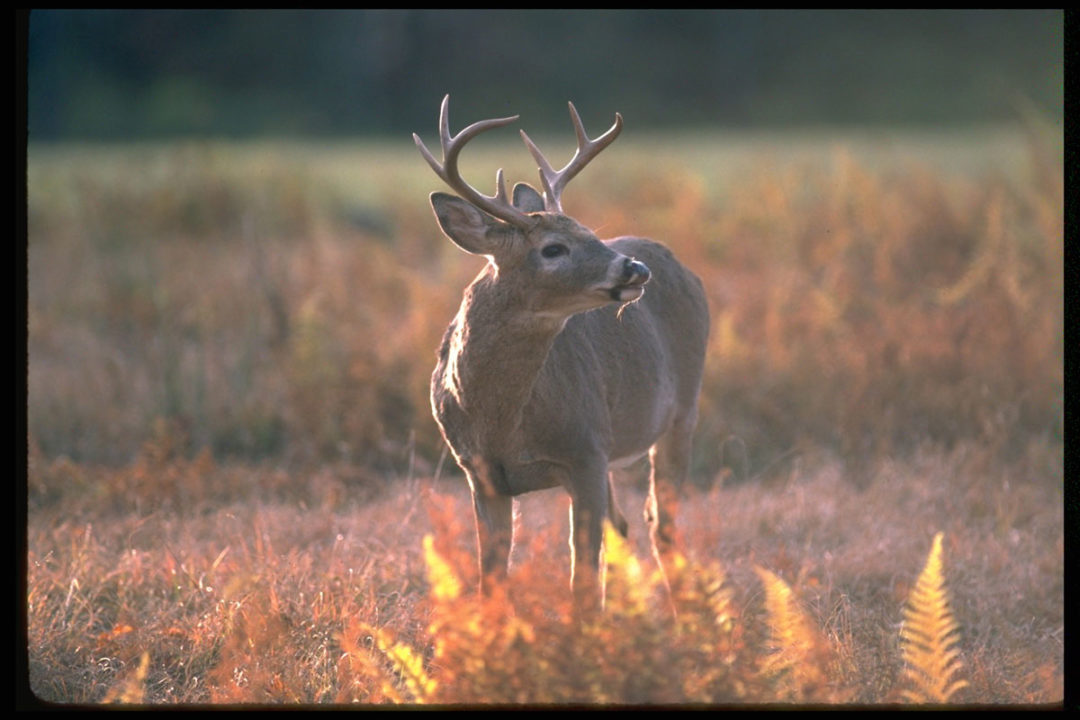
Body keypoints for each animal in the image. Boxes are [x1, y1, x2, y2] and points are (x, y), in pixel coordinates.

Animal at [414, 95, 709, 608]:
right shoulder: (479, 472)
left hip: (681, 411)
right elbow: (491, 581)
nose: (634, 269)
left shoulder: (584, 450)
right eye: (553, 248)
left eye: (590, 232)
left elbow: (582, 580)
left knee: (660, 523)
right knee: (625, 525)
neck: (501, 422)